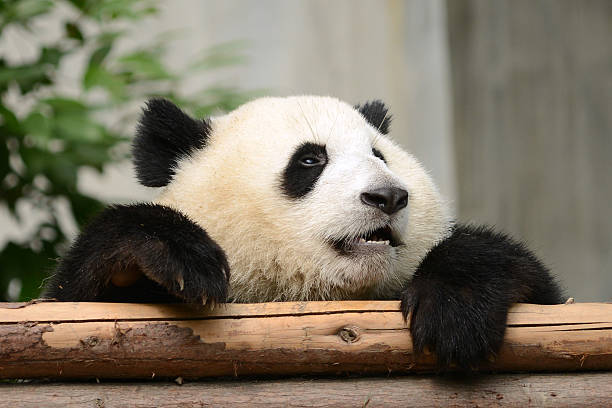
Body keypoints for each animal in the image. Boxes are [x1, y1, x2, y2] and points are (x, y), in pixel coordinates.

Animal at [43, 95, 560, 366]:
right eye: (310, 160)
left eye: (379, 155)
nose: (388, 197)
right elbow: (75, 298)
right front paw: (183, 258)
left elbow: (521, 275)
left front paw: (455, 312)